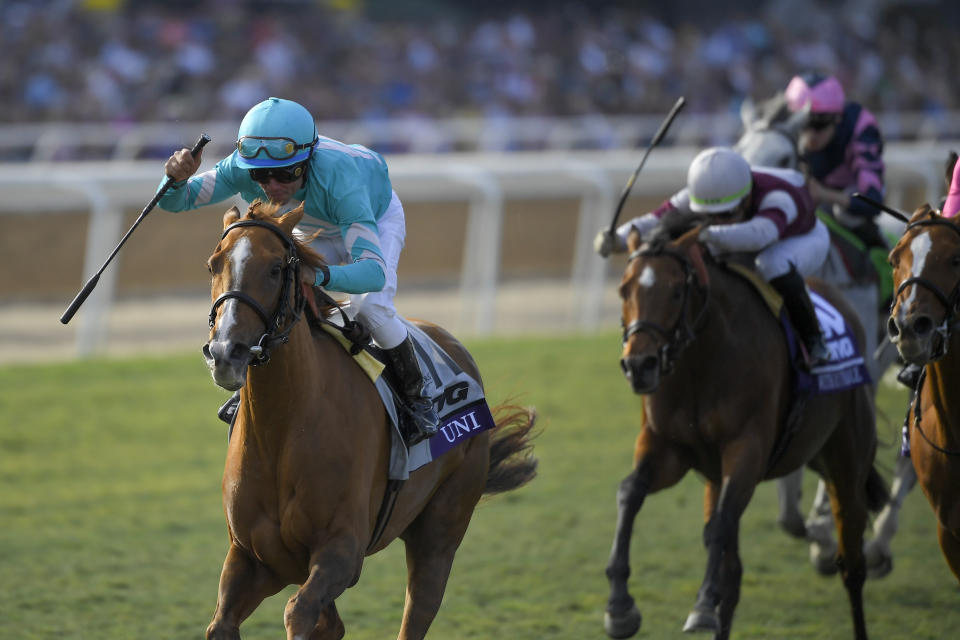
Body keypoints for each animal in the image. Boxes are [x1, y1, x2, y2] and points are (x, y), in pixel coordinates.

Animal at [201, 201, 540, 640]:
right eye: (213, 265)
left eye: (276, 268)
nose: (226, 352)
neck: (285, 430)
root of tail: (453, 345)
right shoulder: (254, 557)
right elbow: (223, 623)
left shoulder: (342, 550)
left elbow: (298, 611)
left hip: (441, 531)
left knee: (419, 607)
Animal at [604, 221, 888, 640]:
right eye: (624, 289)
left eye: (675, 291)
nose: (639, 365)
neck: (700, 362)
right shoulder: (667, 449)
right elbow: (629, 493)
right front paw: (620, 606)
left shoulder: (746, 449)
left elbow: (719, 525)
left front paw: (701, 606)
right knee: (733, 573)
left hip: (846, 466)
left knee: (851, 566)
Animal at [736, 95, 916, 580]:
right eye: (740, 152)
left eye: (785, 158)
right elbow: (788, 514)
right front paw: (818, 536)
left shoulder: (856, 373)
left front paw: (825, 532)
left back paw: (880, 544)